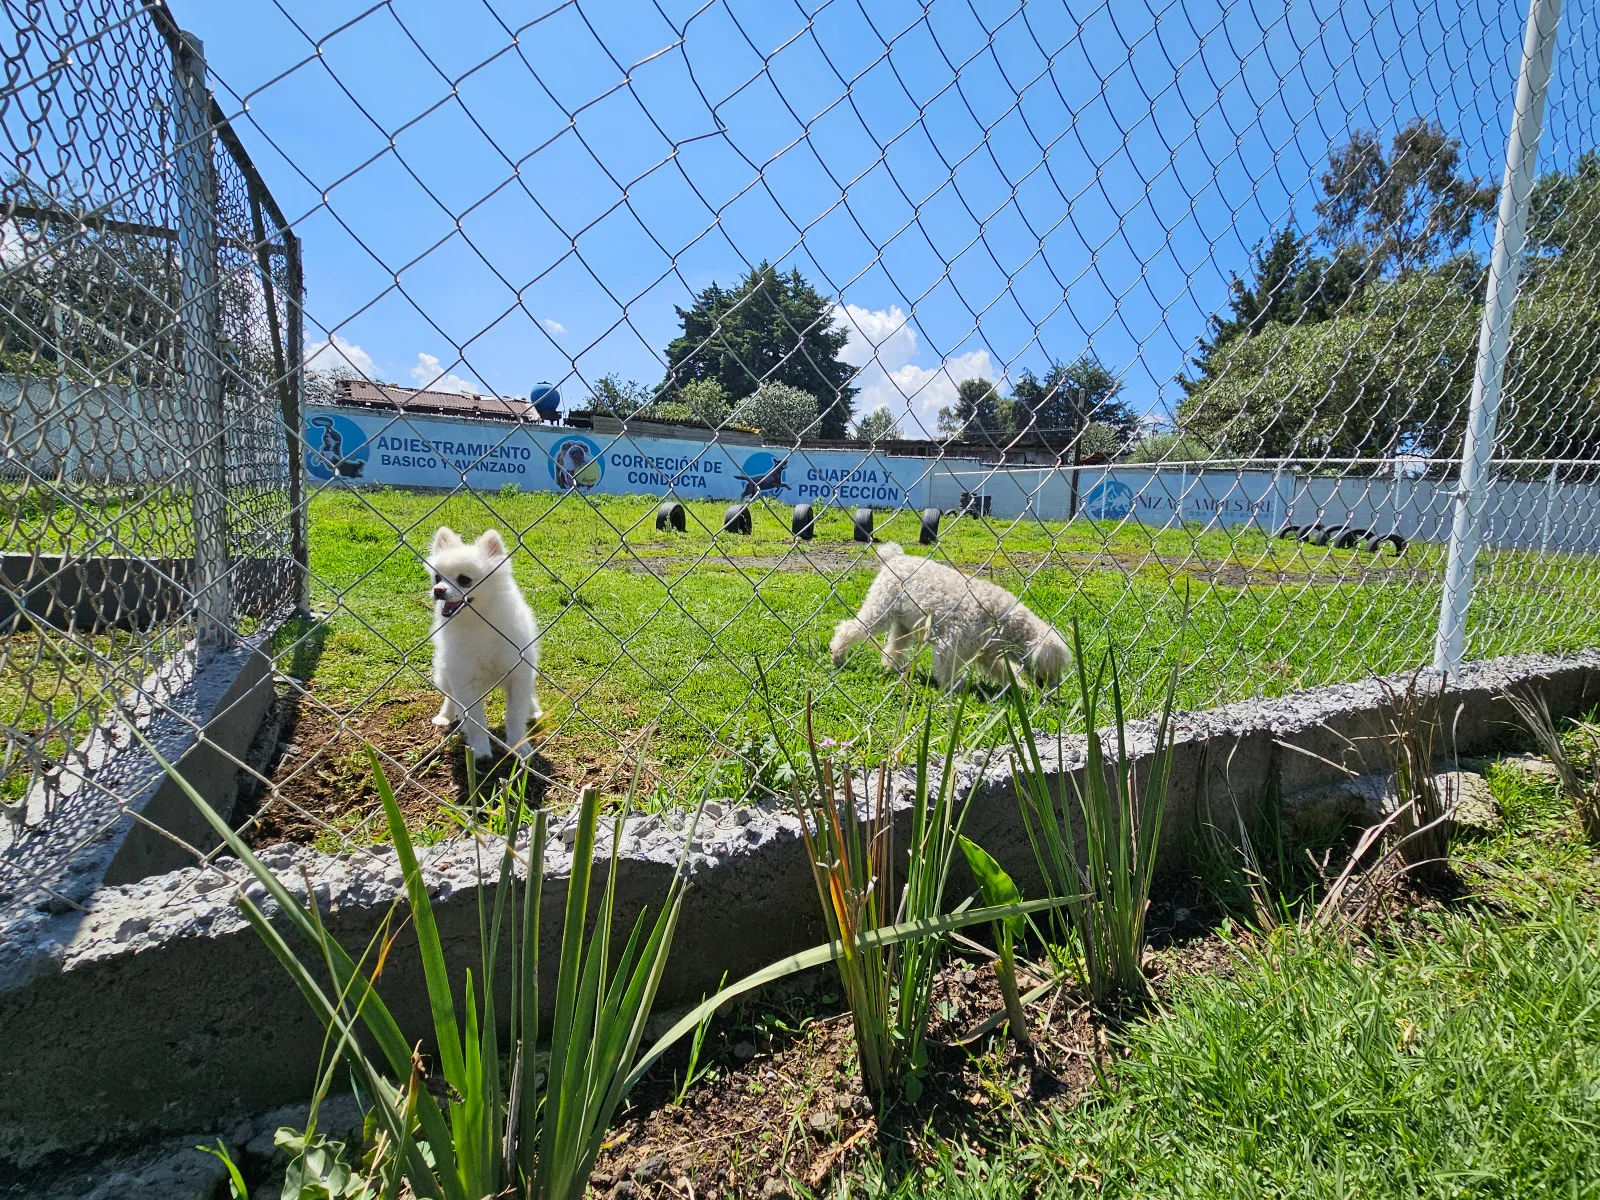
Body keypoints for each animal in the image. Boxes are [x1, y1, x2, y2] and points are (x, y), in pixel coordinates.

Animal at [425, 528, 544, 761]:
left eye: (464, 580)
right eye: (437, 577)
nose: (438, 590)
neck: (478, 621)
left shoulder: (518, 674)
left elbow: (515, 715)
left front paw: (517, 745)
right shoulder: (463, 681)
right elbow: (475, 721)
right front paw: (480, 750)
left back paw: (533, 709)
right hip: (443, 673)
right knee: (449, 696)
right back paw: (444, 716)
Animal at [832, 544, 1068, 691]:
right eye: (1052, 668)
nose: (1054, 689)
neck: (1005, 623)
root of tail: (896, 557)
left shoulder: (986, 653)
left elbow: (1001, 670)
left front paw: (1020, 688)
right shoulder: (951, 645)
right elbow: (948, 669)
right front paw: (955, 689)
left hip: (904, 623)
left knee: (895, 646)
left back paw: (891, 668)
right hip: (880, 608)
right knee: (852, 627)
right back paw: (837, 655)